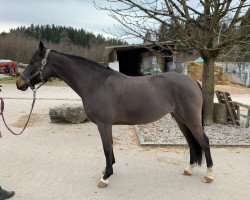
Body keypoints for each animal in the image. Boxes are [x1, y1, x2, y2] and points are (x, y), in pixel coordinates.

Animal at [16, 42, 214, 188]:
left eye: (33, 62)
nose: (19, 83)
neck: (96, 83)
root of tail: (192, 81)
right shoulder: (107, 124)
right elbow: (110, 147)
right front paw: (108, 170)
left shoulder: (103, 124)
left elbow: (106, 148)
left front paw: (105, 177)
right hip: (180, 119)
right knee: (191, 142)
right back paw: (189, 169)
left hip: (190, 119)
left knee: (203, 141)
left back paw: (209, 175)